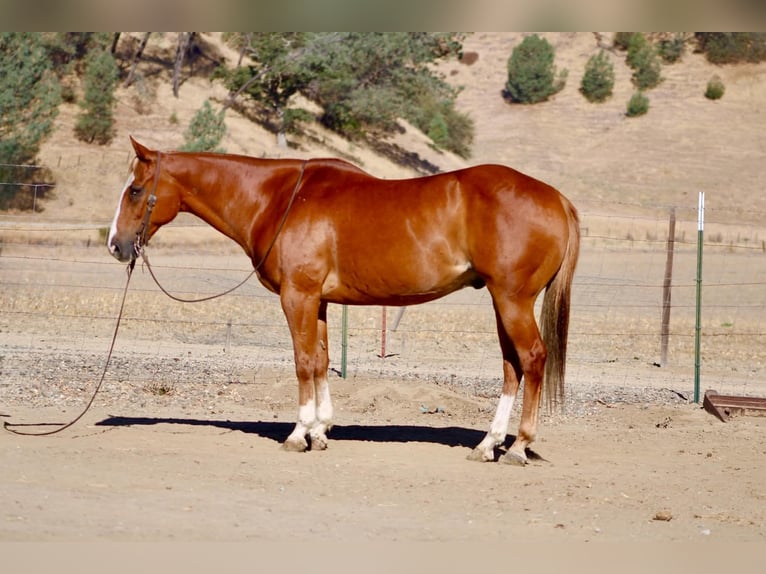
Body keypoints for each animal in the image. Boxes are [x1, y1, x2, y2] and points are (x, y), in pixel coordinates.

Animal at [108, 136, 580, 465]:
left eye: (135, 190)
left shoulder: (297, 296)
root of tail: (557, 197)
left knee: (532, 359)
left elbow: (302, 361)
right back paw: (487, 445)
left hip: (513, 300)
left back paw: (518, 447)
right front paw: (320, 431)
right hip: (503, 303)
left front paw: (298, 434)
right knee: (512, 367)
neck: (281, 198)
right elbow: (320, 360)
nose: (115, 245)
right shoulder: (316, 301)